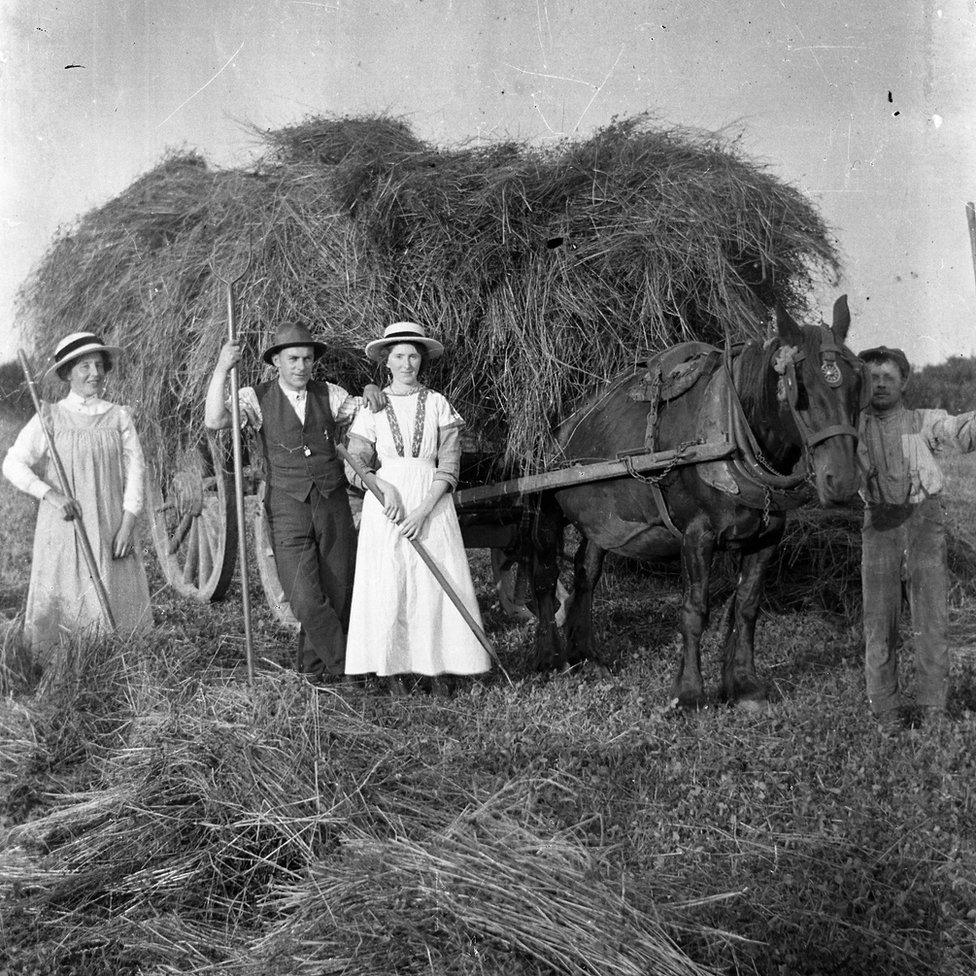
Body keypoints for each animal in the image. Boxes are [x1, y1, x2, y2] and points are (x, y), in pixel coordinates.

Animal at [528, 298, 868, 708]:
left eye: (857, 381)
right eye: (797, 387)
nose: (843, 480)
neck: (731, 433)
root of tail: (564, 423)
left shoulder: (767, 536)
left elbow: (747, 607)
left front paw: (744, 682)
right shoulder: (697, 535)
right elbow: (694, 611)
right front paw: (689, 691)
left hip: (602, 522)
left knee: (585, 573)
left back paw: (585, 655)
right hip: (546, 510)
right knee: (544, 579)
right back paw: (548, 656)